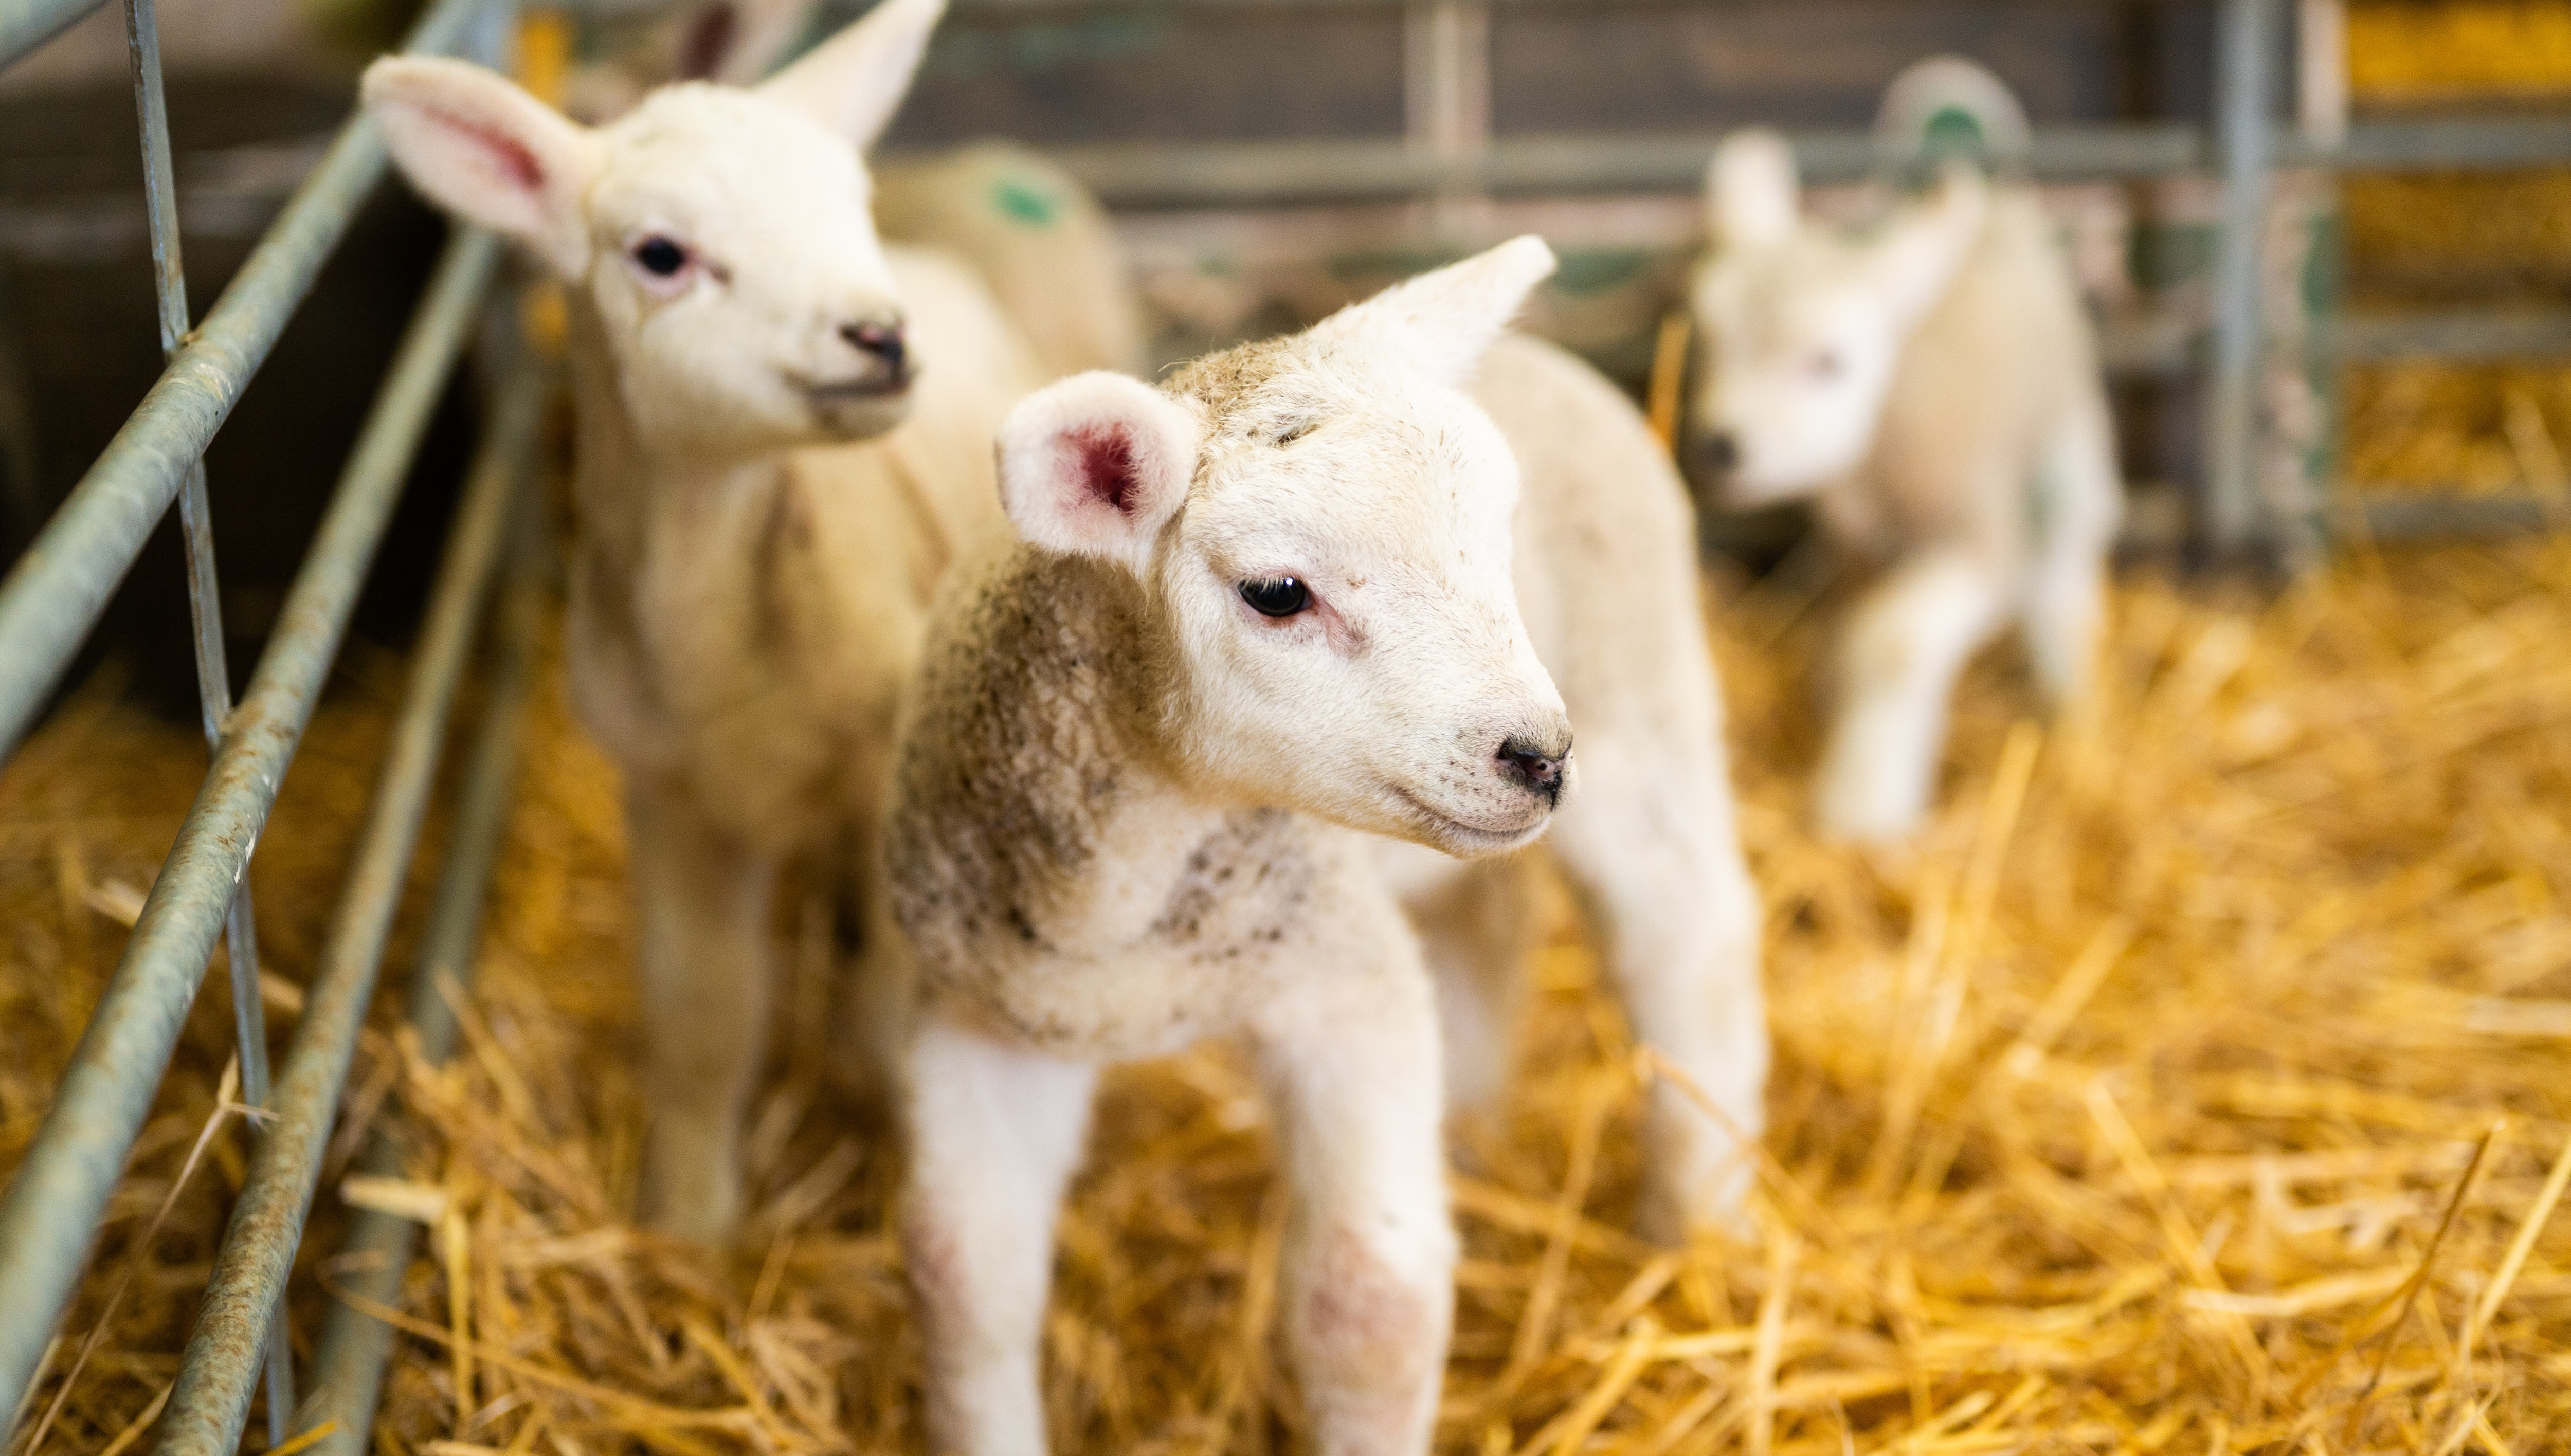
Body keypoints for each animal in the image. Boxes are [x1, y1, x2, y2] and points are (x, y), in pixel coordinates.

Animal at [363, 0, 1046, 1245]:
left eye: (853, 206)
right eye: (660, 256)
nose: (878, 335)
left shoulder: (891, 783)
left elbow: (884, 1014)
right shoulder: (671, 800)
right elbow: (704, 1017)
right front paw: (687, 1219)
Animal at [888, 235, 1768, 1456]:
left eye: (1499, 546)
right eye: (1276, 593)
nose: (1539, 758)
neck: (1130, 907)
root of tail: (1545, 357)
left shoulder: (1344, 983)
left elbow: (1371, 1299)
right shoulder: (988, 1016)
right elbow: (961, 1278)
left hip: (1641, 696)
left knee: (1691, 942)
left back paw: (1699, 1221)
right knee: (1485, 927)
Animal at [1685, 123, 2122, 843]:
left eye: (1828, 361)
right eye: (1707, 340)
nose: (1722, 446)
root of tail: (1999, 208)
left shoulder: (1979, 535)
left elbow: (1892, 644)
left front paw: (1863, 803)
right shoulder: (1855, 542)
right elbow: (1849, 631)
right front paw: (1832, 702)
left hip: (2066, 436)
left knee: (2063, 564)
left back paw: (2070, 693)